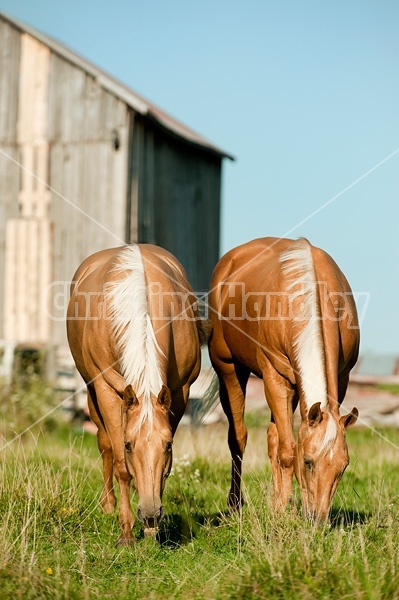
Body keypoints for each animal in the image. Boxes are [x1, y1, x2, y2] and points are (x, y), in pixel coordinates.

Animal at [67, 244, 206, 544]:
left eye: (168, 445)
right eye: (130, 445)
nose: (151, 514)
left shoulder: (180, 392)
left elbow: (164, 471)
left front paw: (152, 530)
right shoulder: (107, 390)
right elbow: (120, 462)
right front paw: (127, 532)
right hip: (91, 393)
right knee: (105, 445)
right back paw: (109, 505)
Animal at [208, 237, 360, 524]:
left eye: (343, 466)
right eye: (308, 461)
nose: (318, 520)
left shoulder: (341, 378)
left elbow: (281, 443)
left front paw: (280, 506)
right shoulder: (274, 378)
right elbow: (288, 451)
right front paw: (284, 513)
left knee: (272, 437)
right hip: (230, 370)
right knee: (238, 437)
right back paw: (235, 505)